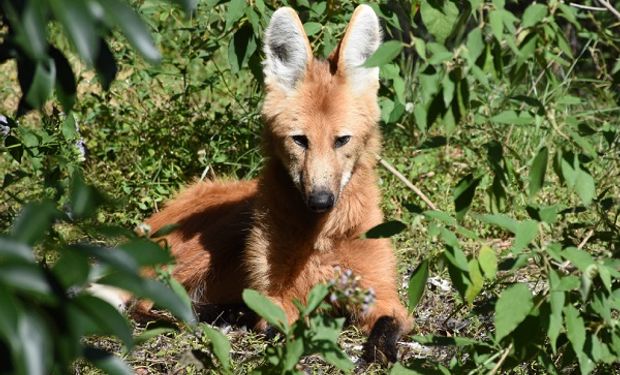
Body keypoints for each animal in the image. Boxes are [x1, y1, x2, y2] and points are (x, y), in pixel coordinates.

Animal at [139, 4, 412, 364]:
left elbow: (386, 328)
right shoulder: (277, 298)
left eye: (342, 140)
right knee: (149, 300)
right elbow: (282, 326)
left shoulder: (382, 294)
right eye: (300, 140)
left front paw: (381, 350)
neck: (322, 235)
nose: (320, 200)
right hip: (223, 231)